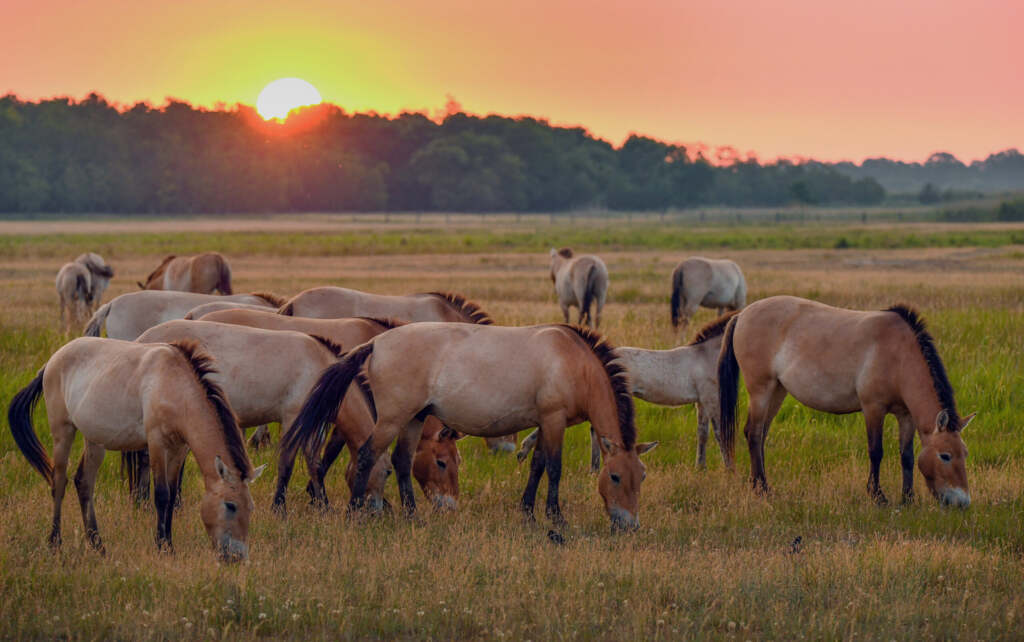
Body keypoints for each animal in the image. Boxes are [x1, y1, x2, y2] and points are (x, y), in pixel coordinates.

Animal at [7, 339, 264, 561]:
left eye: (251, 508)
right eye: (230, 505)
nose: (237, 557)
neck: (175, 385)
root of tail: (51, 361)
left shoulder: (179, 449)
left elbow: (172, 496)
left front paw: (168, 544)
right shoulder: (156, 442)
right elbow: (162, 495)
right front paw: (163, 548)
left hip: (95, 440)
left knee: (84, 482)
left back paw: (98, 546)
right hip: (63, 431)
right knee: (59, 482)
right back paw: (55, 543)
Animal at [280, 323, 655, 528]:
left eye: (642, 477)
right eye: (615, 477)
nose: (630, 525)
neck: (573, 361)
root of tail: (376, 344)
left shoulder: (545, 423)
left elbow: (536, 465)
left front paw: (528, 513)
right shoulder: (553, 419)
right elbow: (553, 468)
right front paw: (555, 517)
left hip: (414, 418)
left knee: (401, 461)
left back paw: (413, 516)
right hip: (392, 418)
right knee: (369, 455)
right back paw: (355, 512)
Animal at [520, 315, 737, 473]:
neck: (705, 355)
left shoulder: (702, 402)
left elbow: (703, 433)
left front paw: (701, 467)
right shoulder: (711, 398)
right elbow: (719, 432)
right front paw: (729, 468)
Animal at [720, 296, 974, 507]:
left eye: (965, 453)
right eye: (945, 456)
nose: (962, 502)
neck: (899, 355)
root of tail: (742, 315)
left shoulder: (906, 415)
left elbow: (908, 456)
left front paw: (908, 499)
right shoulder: (873, 408)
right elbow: (876, 451)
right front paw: (877, 496)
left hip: (777, 391)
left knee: (761, 435)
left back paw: (760, 484)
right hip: (761, 390)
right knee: (753, 433)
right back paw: (761, 489)